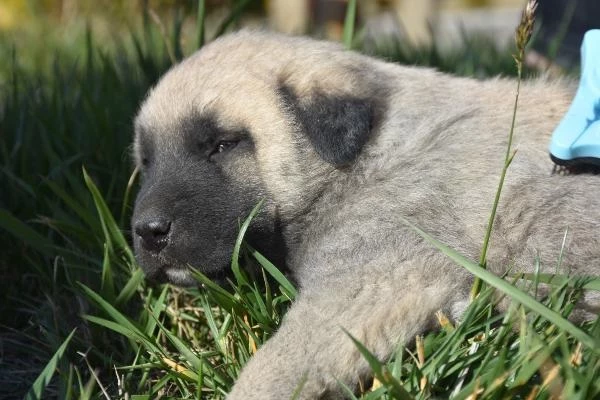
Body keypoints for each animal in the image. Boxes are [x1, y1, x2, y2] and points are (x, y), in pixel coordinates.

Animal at [132, 30, 600, 396]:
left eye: (222, 144)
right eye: (147, 161)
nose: (146, 231)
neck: (368, 157)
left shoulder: (365, 287)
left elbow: (273, 369)